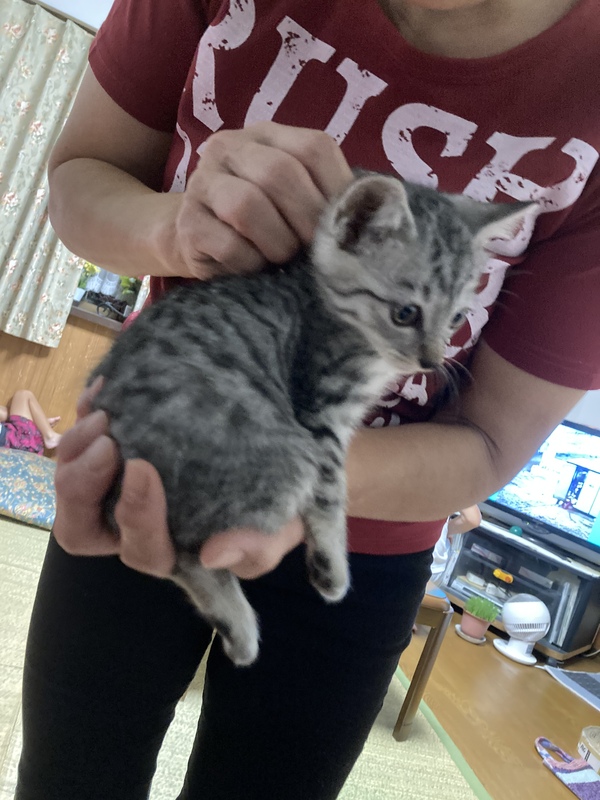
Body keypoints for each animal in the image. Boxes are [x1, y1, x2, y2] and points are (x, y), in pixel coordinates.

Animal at [89, 171, 532, 666]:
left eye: (457, 318)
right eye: (405, 313)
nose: (430, 362)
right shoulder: (322, 413)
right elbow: (331, 492)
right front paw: (333, 564)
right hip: (284, 456)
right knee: (185, 555)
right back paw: (241, 626)